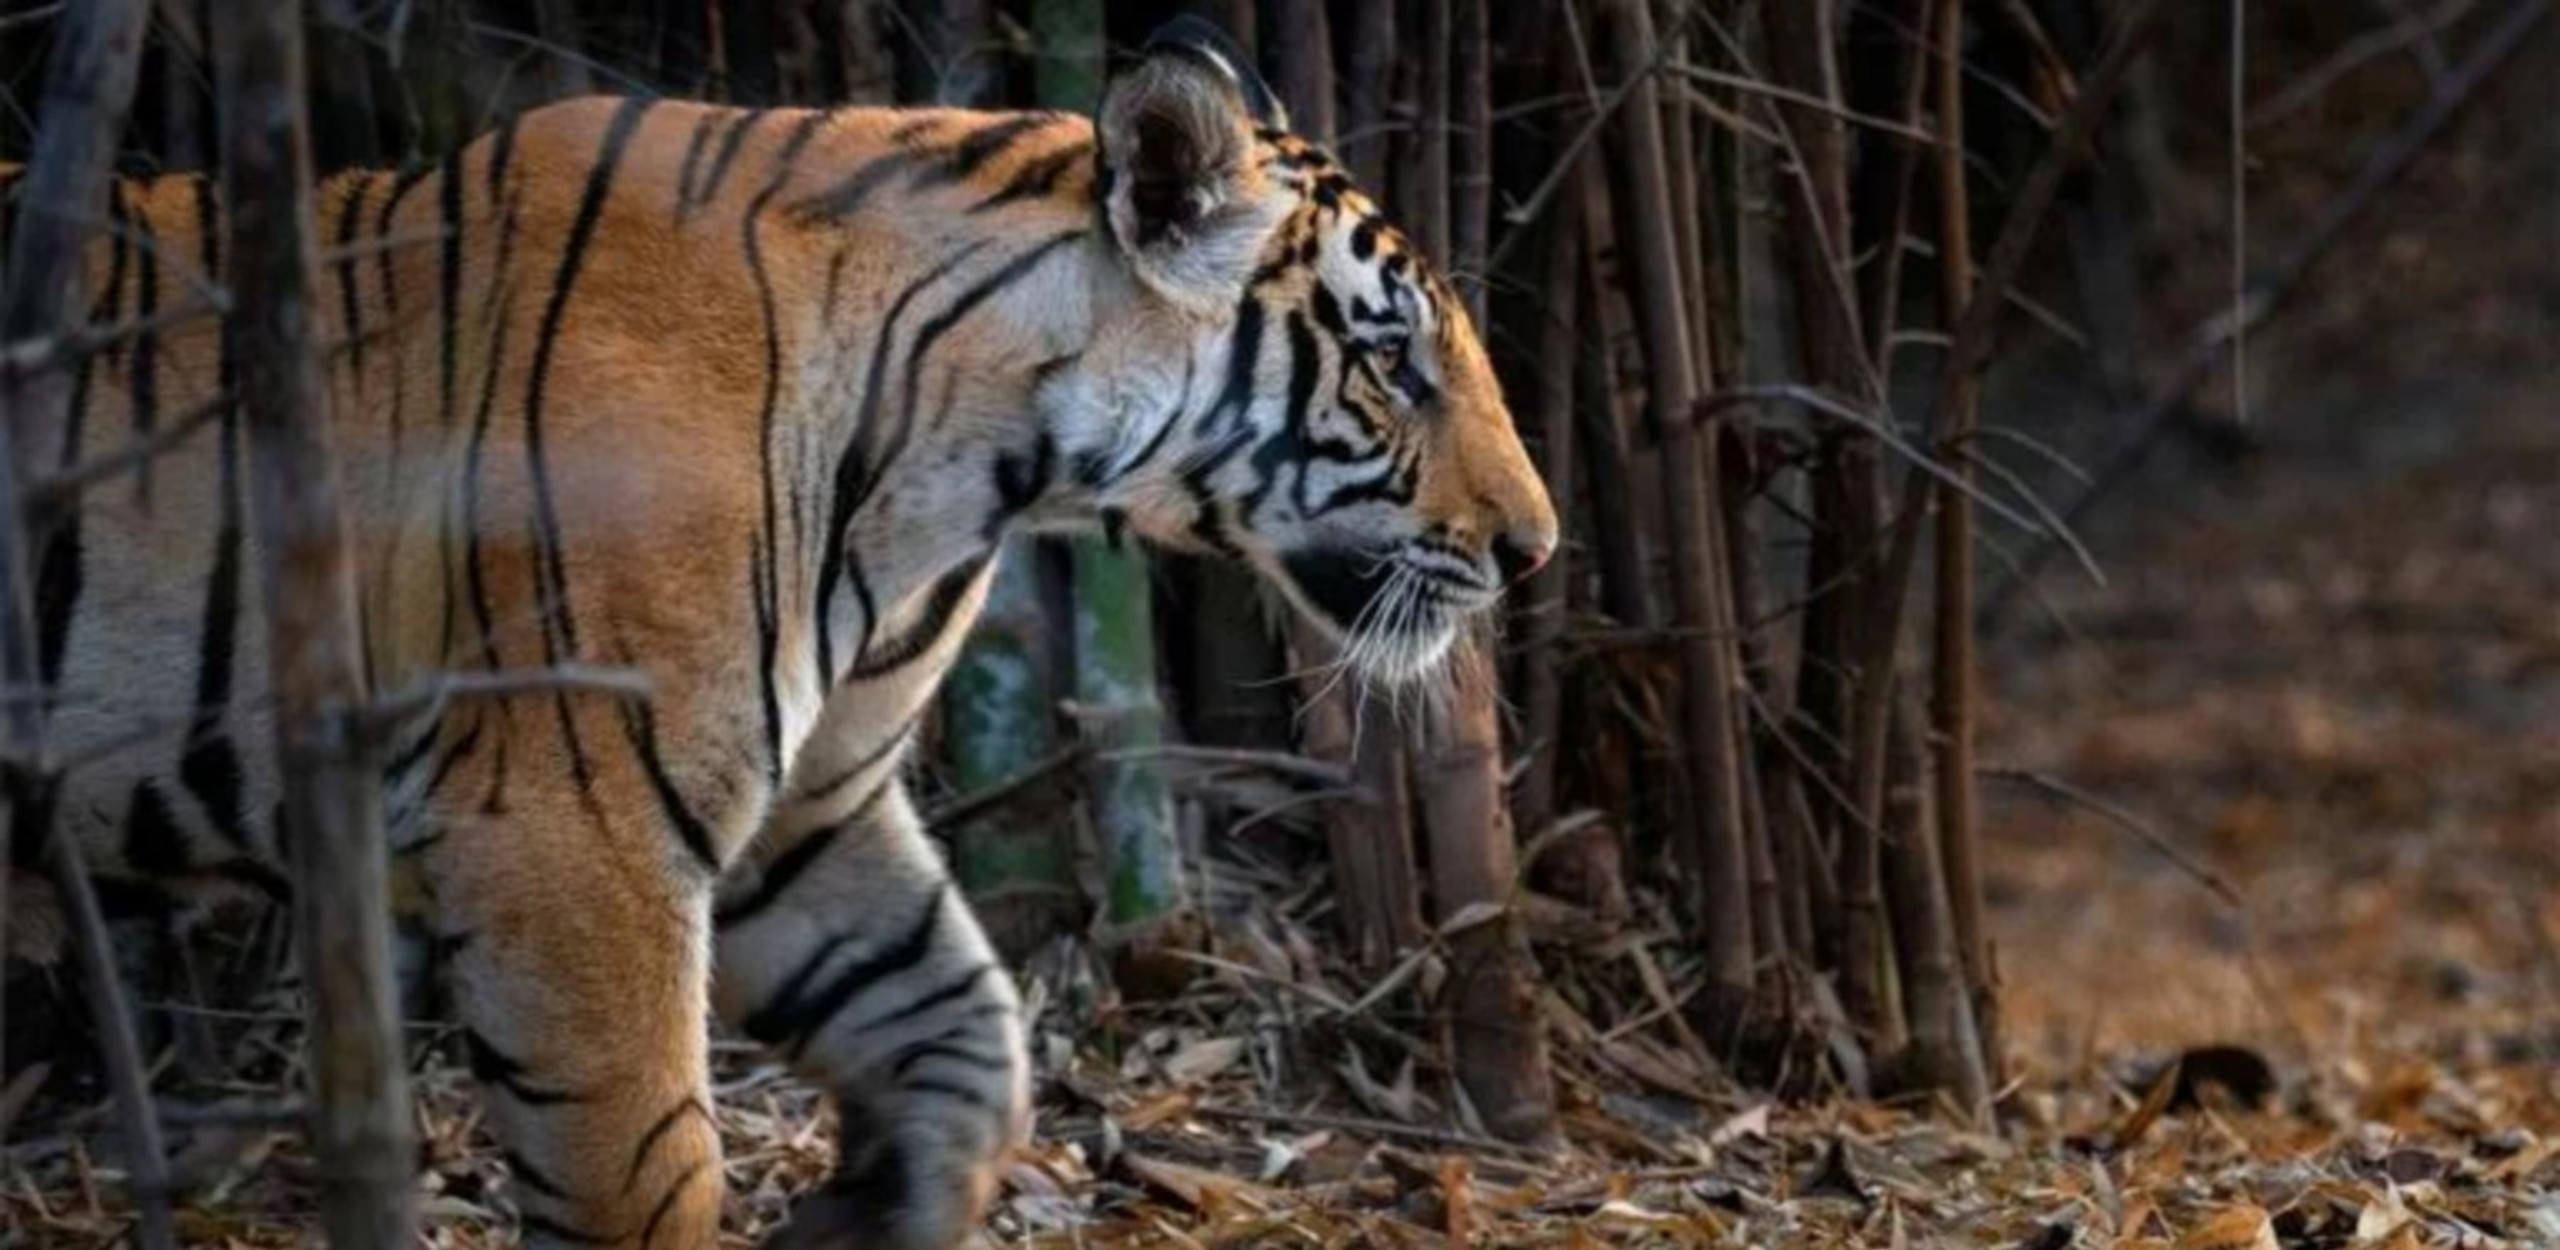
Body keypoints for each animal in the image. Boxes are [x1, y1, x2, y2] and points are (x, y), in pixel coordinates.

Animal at [3, 19, 1555, 1249]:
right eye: (1392, 360)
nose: (1533, 550)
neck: (974, 460)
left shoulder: (807, 811)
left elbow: (962, 1032)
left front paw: (874, 1209)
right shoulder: (574, 828)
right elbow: (641, 1171)